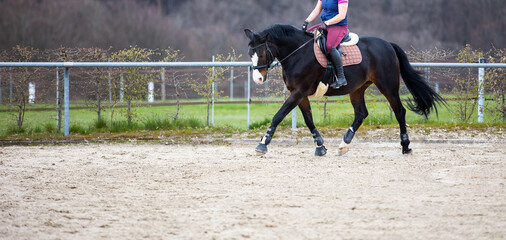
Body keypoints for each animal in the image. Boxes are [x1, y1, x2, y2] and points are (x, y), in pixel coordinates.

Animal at [244, 24, 442, 156]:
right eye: (250, 54)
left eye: (261, 53)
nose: (258, 79)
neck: (298, 54)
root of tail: (388, 44)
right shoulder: (300, 94)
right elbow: (308, 120)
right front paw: (320, 146)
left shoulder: (299, 92)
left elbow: (278, 115)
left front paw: (263, 144)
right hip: (358, 89)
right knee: (361, 114)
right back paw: (344, 143)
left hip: (388, 86)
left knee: (399, 111)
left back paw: (405, 146)